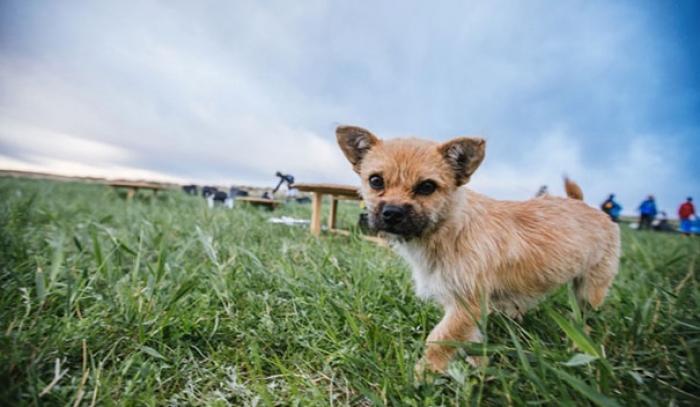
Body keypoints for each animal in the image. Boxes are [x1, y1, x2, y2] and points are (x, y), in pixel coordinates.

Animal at [336, 126, 620, 378]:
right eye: (375, 181)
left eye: (427, 187)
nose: (392, 213)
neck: (447, 230)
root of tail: (588, 206)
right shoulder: (462, 307)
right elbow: (469, 341)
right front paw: (478, 369)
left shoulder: (465, 304)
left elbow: (439, 339)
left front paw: (423, 375)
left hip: (590, 289)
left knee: (584, 317)